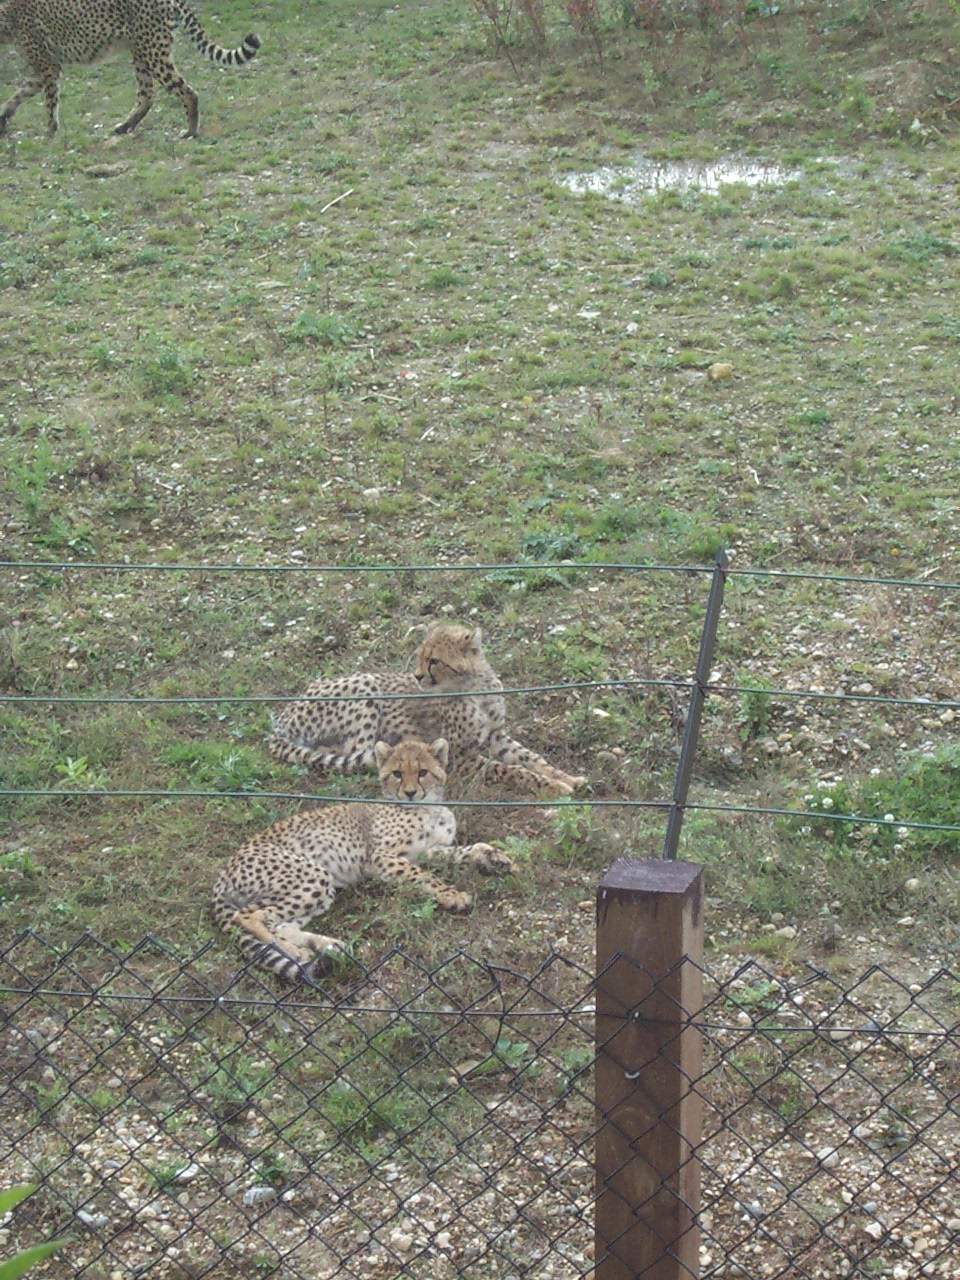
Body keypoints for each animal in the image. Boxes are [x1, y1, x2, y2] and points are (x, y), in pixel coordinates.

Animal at [0, 0, 260, 139]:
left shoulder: (49, 67)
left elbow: (50, 101)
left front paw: (51, 132)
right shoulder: (40, 71)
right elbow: (18, 95)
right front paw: (3, 119)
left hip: (153, 52)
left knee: (187, 91)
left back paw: (190, 131)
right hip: (140, 52)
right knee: (147, 95)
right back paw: (125, 126)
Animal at [211, 737, 513, 983]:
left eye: (423, 772)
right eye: (397, 774)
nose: (410, 792)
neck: (428, 808)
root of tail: (225, 870)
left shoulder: (427, 851)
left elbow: (464, 851)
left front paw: (494, 858)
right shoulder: (382, 858)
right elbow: (425, 876)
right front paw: (453, 896)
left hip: (318, 890)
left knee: (279, 922)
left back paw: (328, 946)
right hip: (312, 874)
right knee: (248, 916)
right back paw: (298, 952)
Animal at [266, 623, 587, 799]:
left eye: (434, 660)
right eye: (420, 657)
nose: (418, 676)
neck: (474, 688)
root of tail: (282, 717)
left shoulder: (496, 735)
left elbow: (531, 758)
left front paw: (567, 778)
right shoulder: (459, 757)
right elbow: (509, 769)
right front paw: (552, 785)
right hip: (366, 684)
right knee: (355, 752)